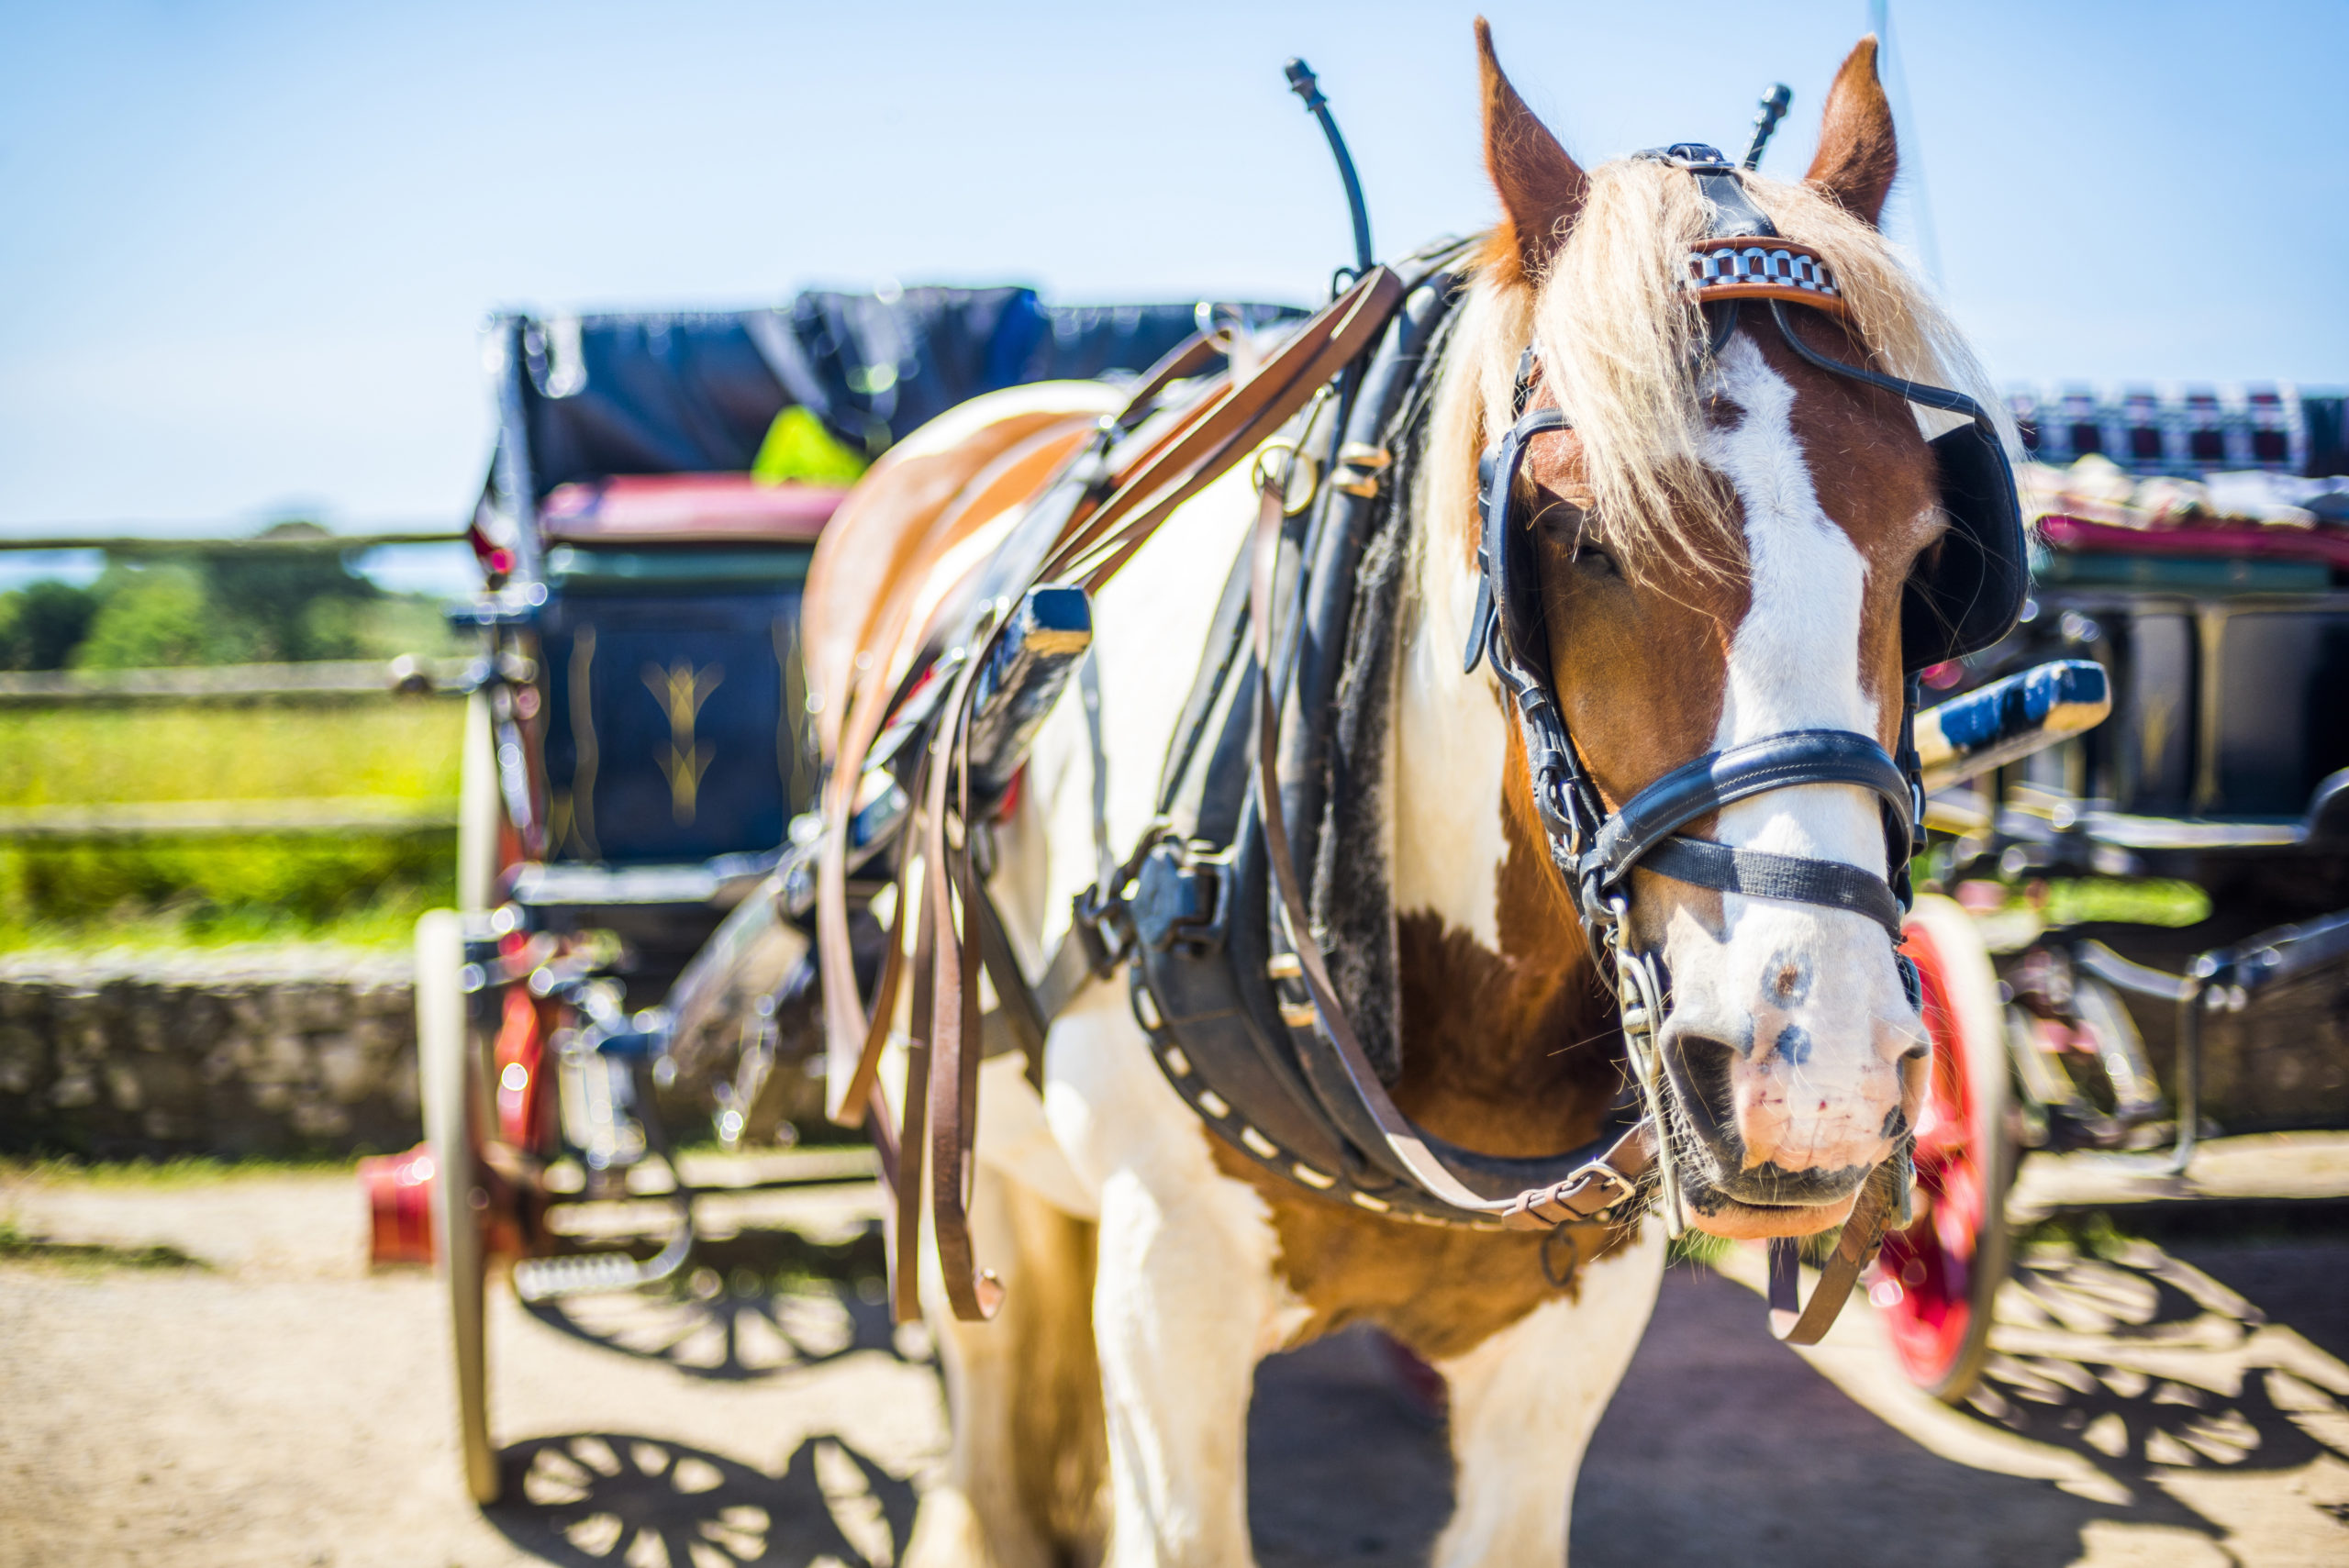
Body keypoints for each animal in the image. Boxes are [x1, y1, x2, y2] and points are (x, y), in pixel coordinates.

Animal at [798, 28, 1991, 1568]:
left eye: (1928, 547)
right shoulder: (1170, 1296)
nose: (1820, 1075)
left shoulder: (1568, 1336)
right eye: (1577, 531)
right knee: (990, 1370)